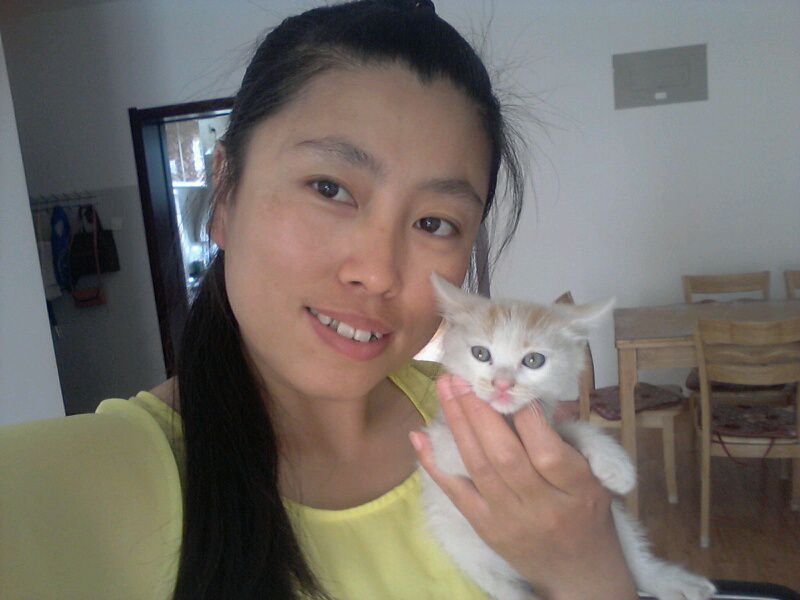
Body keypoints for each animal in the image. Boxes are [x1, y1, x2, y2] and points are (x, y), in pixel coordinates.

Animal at [419, 273, 716, 600]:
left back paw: (674, 583)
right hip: (465, 552)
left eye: (533, 360)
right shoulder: (439, 441)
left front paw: (615, 464)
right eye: (481, 354)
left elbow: (571, 429)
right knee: (505, 588)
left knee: (634, 561)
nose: (502, 385)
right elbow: (453, 452)